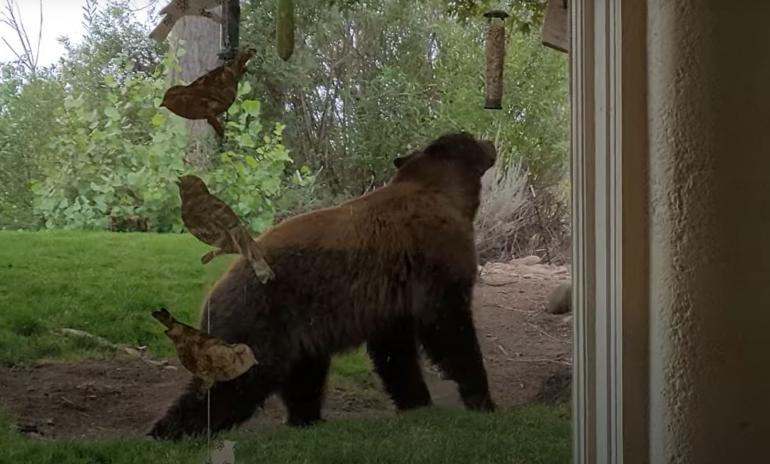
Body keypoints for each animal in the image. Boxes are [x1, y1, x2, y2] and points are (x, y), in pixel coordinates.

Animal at [148, 130, 498, 438]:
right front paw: (482, 400)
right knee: (233, 385)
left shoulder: (389, 299)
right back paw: (168, 433)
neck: (445, 193)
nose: (491, 143)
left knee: (303, 380)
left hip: (300, 333)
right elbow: (449, 330)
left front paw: (416, 403)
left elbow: (395, 354)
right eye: (472, 138)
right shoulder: (435, 261)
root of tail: (210, 297)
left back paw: (307, 420)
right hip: (257, 323)